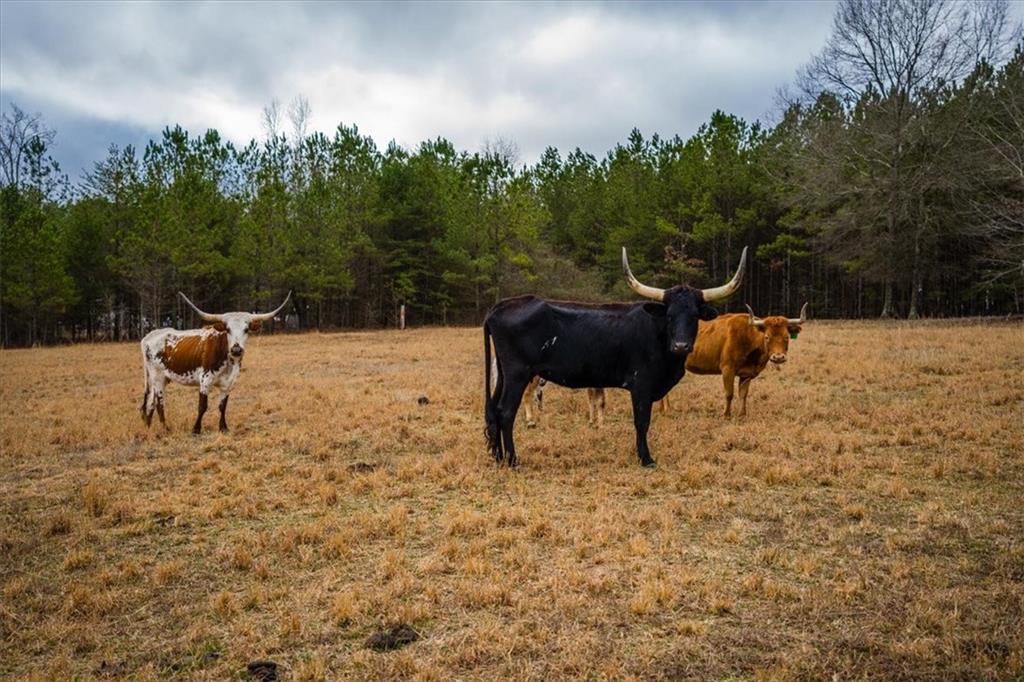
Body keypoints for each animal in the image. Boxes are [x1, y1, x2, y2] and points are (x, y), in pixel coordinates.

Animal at [140, 290, 292, 430]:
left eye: (246, 329)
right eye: (228, 329)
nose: (236, 350)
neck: (228, 362)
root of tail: (149, 336)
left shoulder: (229, 383)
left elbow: (222, 406)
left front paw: (223, 427)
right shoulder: (204, 380)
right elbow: (202, 406)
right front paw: (196, 429)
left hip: (160, 379)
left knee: (150, 402)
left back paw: (148, 427)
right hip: (157, 376)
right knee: (159, 403)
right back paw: (165, 429)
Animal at [483, 245, 749, 466]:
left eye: (694, 316)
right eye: (669, 315)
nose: (681, 346)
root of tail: (500, 306)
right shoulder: (641, 384)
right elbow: (642, 421)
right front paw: (645, 458)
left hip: (505, 375)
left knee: (494, 410)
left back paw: (498, 457)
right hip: (518, 374)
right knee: (506, 412)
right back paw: (512, 460)